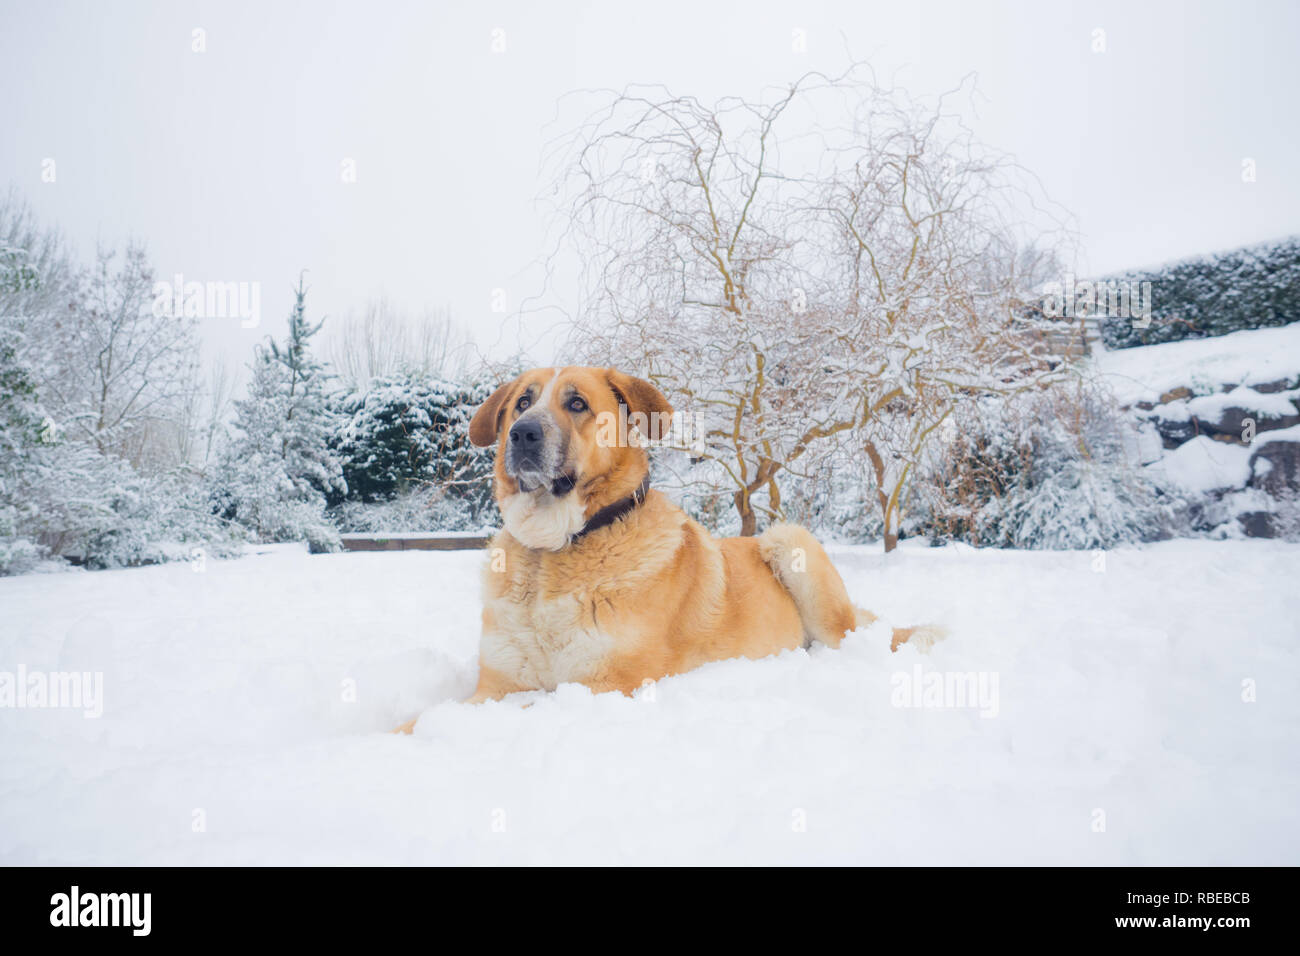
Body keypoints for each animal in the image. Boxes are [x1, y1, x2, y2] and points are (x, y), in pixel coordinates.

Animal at [390, 366, 941, 733]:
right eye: (522, 403)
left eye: (577, 404)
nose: (522, 434)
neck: (555, 551)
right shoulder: (497, 685)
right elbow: (430, 716)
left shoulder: (602, 685)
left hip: (790, 541)